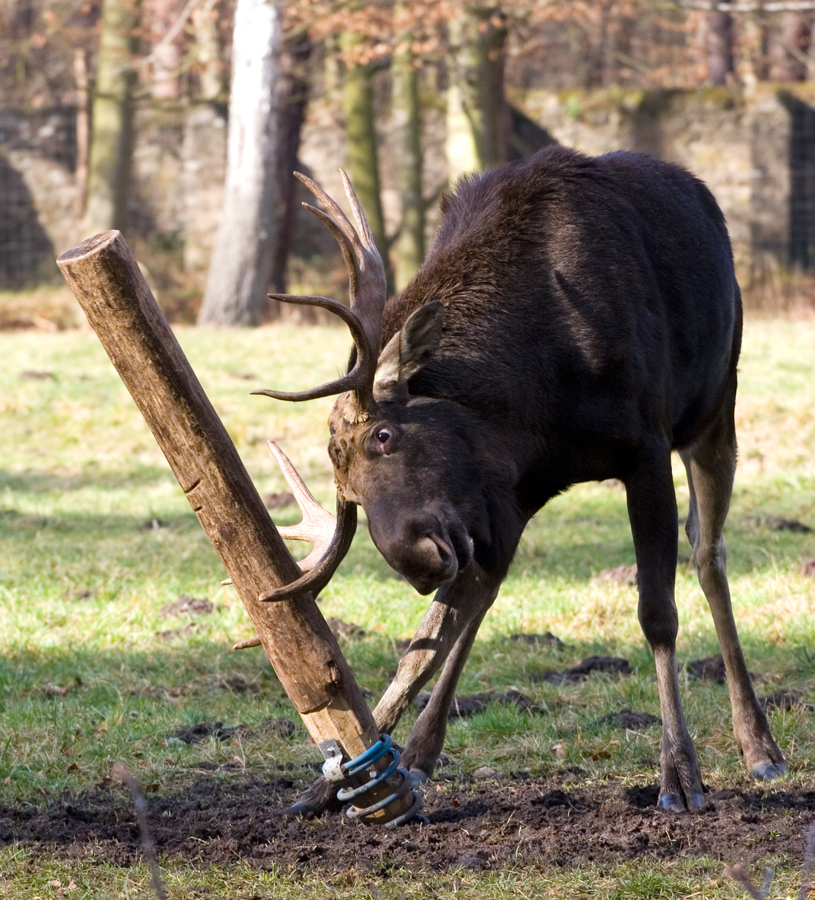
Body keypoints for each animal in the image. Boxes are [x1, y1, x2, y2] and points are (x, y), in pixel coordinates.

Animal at [258, 146, 788, 816]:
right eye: (346, 491)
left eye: (384, 435)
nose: (415, 560)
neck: (539, 391)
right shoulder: (502, 493)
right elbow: (429, 636)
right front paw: (339, 779)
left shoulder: (645, 447)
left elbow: (657, 613)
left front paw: (680, 775)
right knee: (479, 598)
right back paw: (420, 752)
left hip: (716, 406)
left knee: (709, 551)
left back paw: (760, 745)